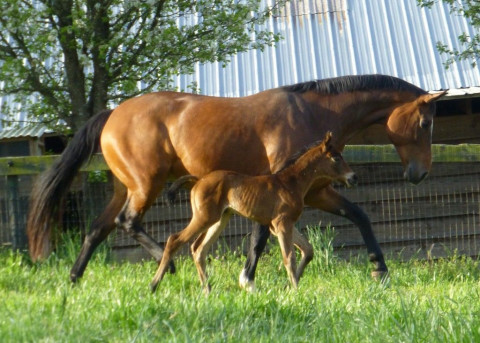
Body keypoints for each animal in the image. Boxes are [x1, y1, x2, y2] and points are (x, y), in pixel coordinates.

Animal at [150, 133, 356, 294]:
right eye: (336, 158)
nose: (353, 177)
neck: (290, 183)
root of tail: (198, 180)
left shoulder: (277, 225)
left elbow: (307, 249)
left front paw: (289, 287)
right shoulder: (282, 223)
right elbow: (289, 257)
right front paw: (296, 291)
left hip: (220, 219)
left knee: (198, 248)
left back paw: (207, 289)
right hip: (205, 217)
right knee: (175, 240)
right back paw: (154, 285)